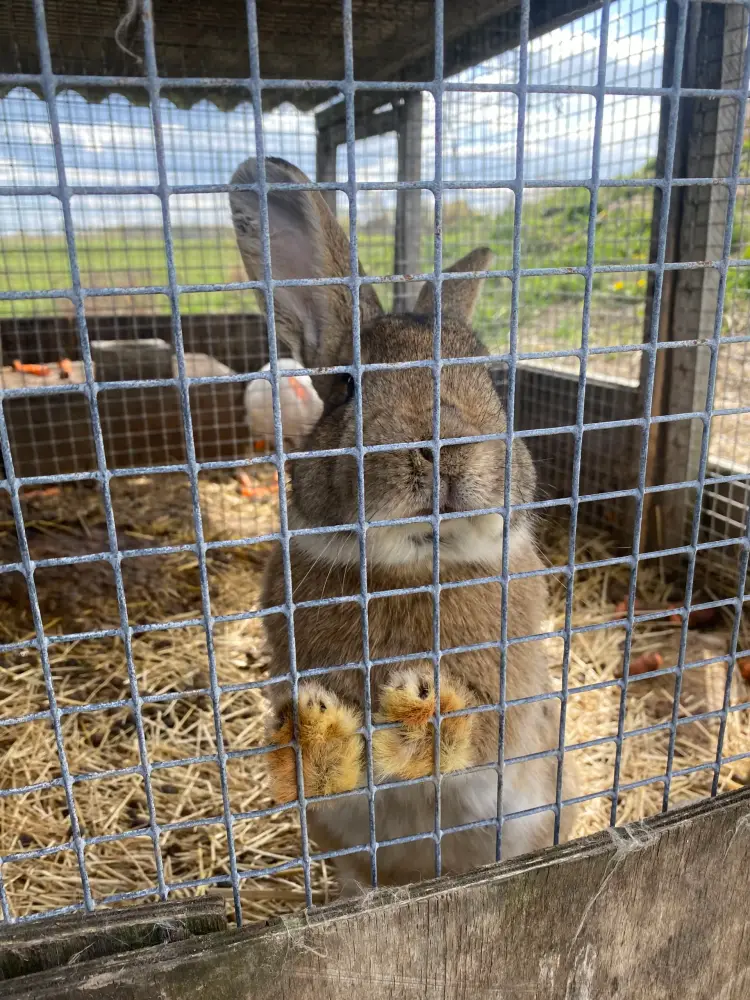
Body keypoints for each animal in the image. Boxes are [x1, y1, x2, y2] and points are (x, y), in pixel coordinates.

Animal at [230, 156, 577, 895]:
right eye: (347, 386)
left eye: (491, 381)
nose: (444, 447)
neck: (410, 567)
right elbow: (325, 766)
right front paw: (317, 728)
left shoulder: (507, 702)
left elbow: (472, 734)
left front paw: (420, 704)